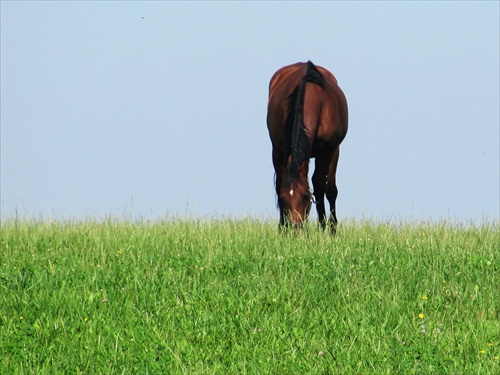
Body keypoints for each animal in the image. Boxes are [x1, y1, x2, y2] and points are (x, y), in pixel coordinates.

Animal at [266, 60, 348, 234]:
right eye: (284, 198)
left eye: (305, 196)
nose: (295, 229)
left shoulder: (332, 148)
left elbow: (329, 189)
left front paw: (331, 230)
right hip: (276, 149)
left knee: (318, 183)